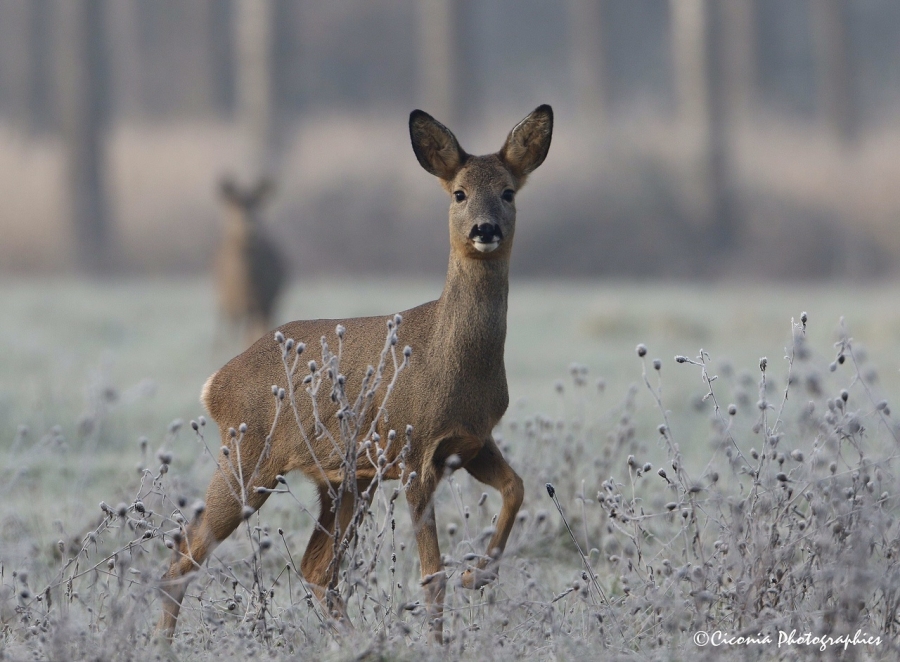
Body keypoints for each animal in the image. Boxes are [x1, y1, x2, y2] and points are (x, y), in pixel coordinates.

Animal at [213, 176, 284, 348]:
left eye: (256, 203)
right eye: (234, 204)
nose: (250, 230)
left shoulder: (261, 302)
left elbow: (252, 334)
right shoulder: (233, 304)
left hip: (269, 304)